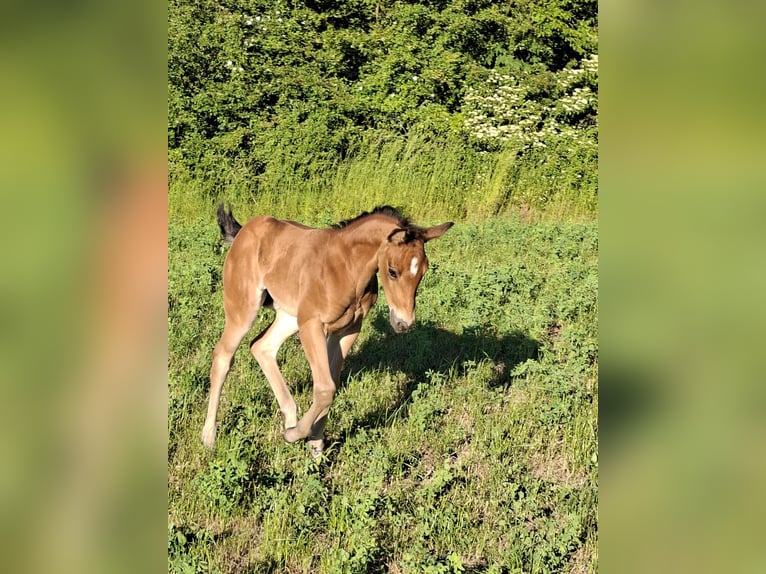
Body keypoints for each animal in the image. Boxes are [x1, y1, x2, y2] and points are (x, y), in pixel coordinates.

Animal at [201, 204, 453, 456]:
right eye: (392, 271)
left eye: (423, 271)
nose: (404, 323)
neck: (347, 269)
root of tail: (243, 231)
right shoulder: (312, 324)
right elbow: (325, 388)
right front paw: (294, 435)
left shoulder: (348, 329)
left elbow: (332, 383)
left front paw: (315, 443)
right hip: (244, 308)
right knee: (223, 356)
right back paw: (209, 437)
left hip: (290, 316)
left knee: (261, 346)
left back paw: (290, 416)